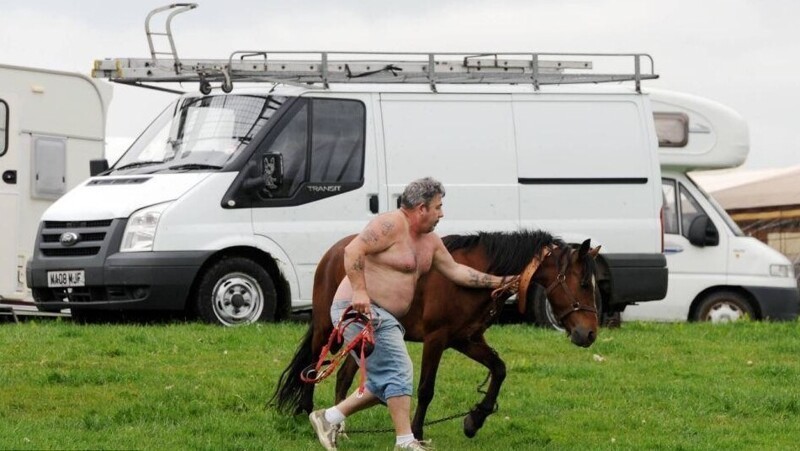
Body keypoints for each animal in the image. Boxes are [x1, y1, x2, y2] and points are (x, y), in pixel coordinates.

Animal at [272, 231, 596, 440]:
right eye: (583, 283)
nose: (590, 333)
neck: (474, 274)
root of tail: (334, 252)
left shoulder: (466, 339)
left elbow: (499, 369)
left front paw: (474, 420)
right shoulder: (436, 339)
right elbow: (426, 388)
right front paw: (416, 431)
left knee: (344, 376)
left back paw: (340, 428)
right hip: (327, 328)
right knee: (313, 367)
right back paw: (305, 412)